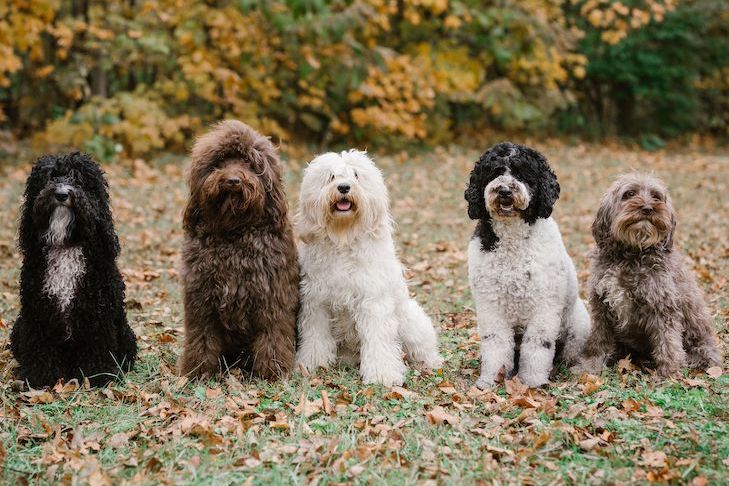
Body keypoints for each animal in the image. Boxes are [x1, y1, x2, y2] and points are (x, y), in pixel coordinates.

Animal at [9, 152, 137, 388]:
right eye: (50, 177)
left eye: (78, 179)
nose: (61, 194)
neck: (66, 244)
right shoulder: (38, 312)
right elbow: (40, 347)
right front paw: (40, 377)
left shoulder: (97, 312)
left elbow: (97, 345)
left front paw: (99, 376)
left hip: (124, 333)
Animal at [292, 150, 440, 386]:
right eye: (331, 177)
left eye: (356, 175)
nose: (344, 187)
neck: (343, 237)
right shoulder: (317, 301)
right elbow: (315, 336)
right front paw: (312, 364)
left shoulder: (372, 302)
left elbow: (378, 339)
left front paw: (382, 374)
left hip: (411, 323)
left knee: (422, 347)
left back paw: (430, 362)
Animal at [466, 142, 592, 390]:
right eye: (494, 172)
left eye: (523, 173)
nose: (505, 190)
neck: (513, 241)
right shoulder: (491, 305)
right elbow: (496, 343)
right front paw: (491, 379)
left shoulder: (544, 306)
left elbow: (537, 345)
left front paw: (533, 381)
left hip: (578, 325)